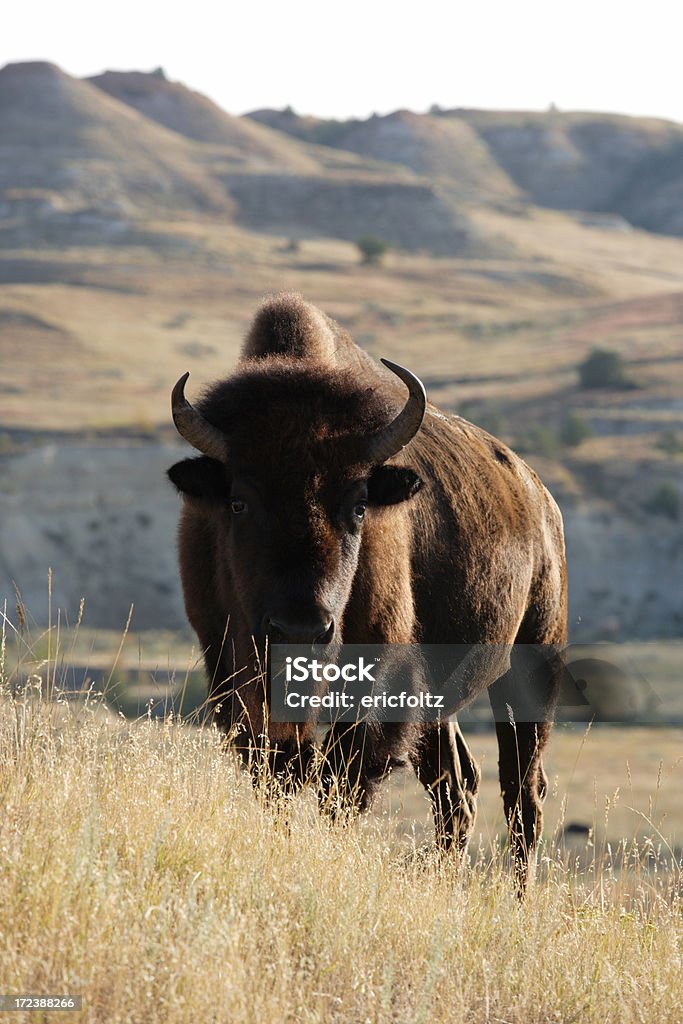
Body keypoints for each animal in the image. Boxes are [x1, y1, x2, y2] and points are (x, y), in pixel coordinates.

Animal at [166, 292, 565, 892]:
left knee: (522, 792)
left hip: (531, 665)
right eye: (237, 501)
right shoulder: (237, 683)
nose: (301, 630)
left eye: (358, 506)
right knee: (458, 790)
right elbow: (280, 780)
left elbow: (341, 786)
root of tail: (541, 499)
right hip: (442, 703)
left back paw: (517, 900)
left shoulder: (378, 689)